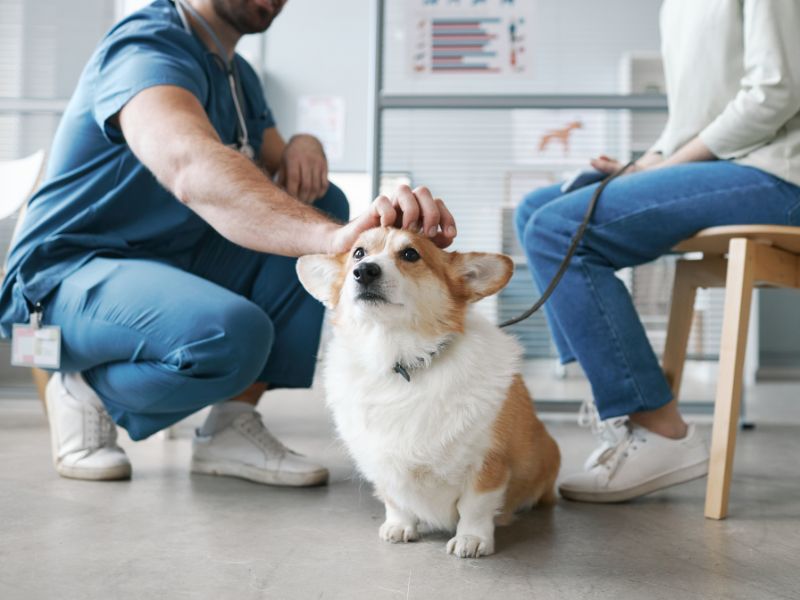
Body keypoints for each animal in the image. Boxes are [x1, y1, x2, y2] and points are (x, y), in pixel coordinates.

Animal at [296, 226, 560, 556]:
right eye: (358, 252)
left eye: (410, 254)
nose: (364, 271)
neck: (399, 360)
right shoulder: (382, 463)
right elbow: (395, 500)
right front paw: (399, 526)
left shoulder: (488, 462)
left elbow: (475, 507)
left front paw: (471, 539)